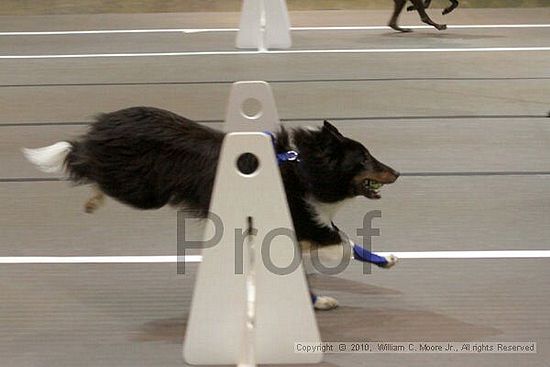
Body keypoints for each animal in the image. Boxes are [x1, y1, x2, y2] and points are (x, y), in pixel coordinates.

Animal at [23, 106, 402, 310]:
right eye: (364, 158)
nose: (397, 172)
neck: (303, 167)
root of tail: (105, 124)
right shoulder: (298, 222)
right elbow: (340, 242)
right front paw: (318, 301)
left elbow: (347, 243)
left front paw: (384, 260)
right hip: (141, 191)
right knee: (83, 160)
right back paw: (85, 185)